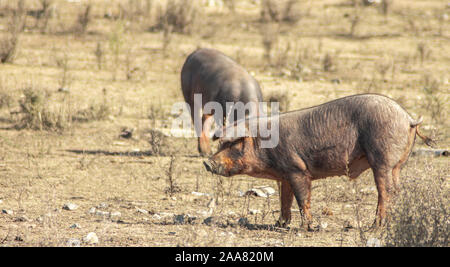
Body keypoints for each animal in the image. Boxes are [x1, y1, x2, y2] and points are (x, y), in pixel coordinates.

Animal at [203, 94, 432, 230]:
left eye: (233, 144)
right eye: (221, 144)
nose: (207, 163)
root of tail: (408, 118)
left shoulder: (298, 169)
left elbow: (302, 198)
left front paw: (307, 227)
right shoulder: (284, 175)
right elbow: (284, 199)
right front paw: (280, 224)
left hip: (382, 158)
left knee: (386, 191)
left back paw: (376, 225)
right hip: (397, 164)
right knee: (397, 189)